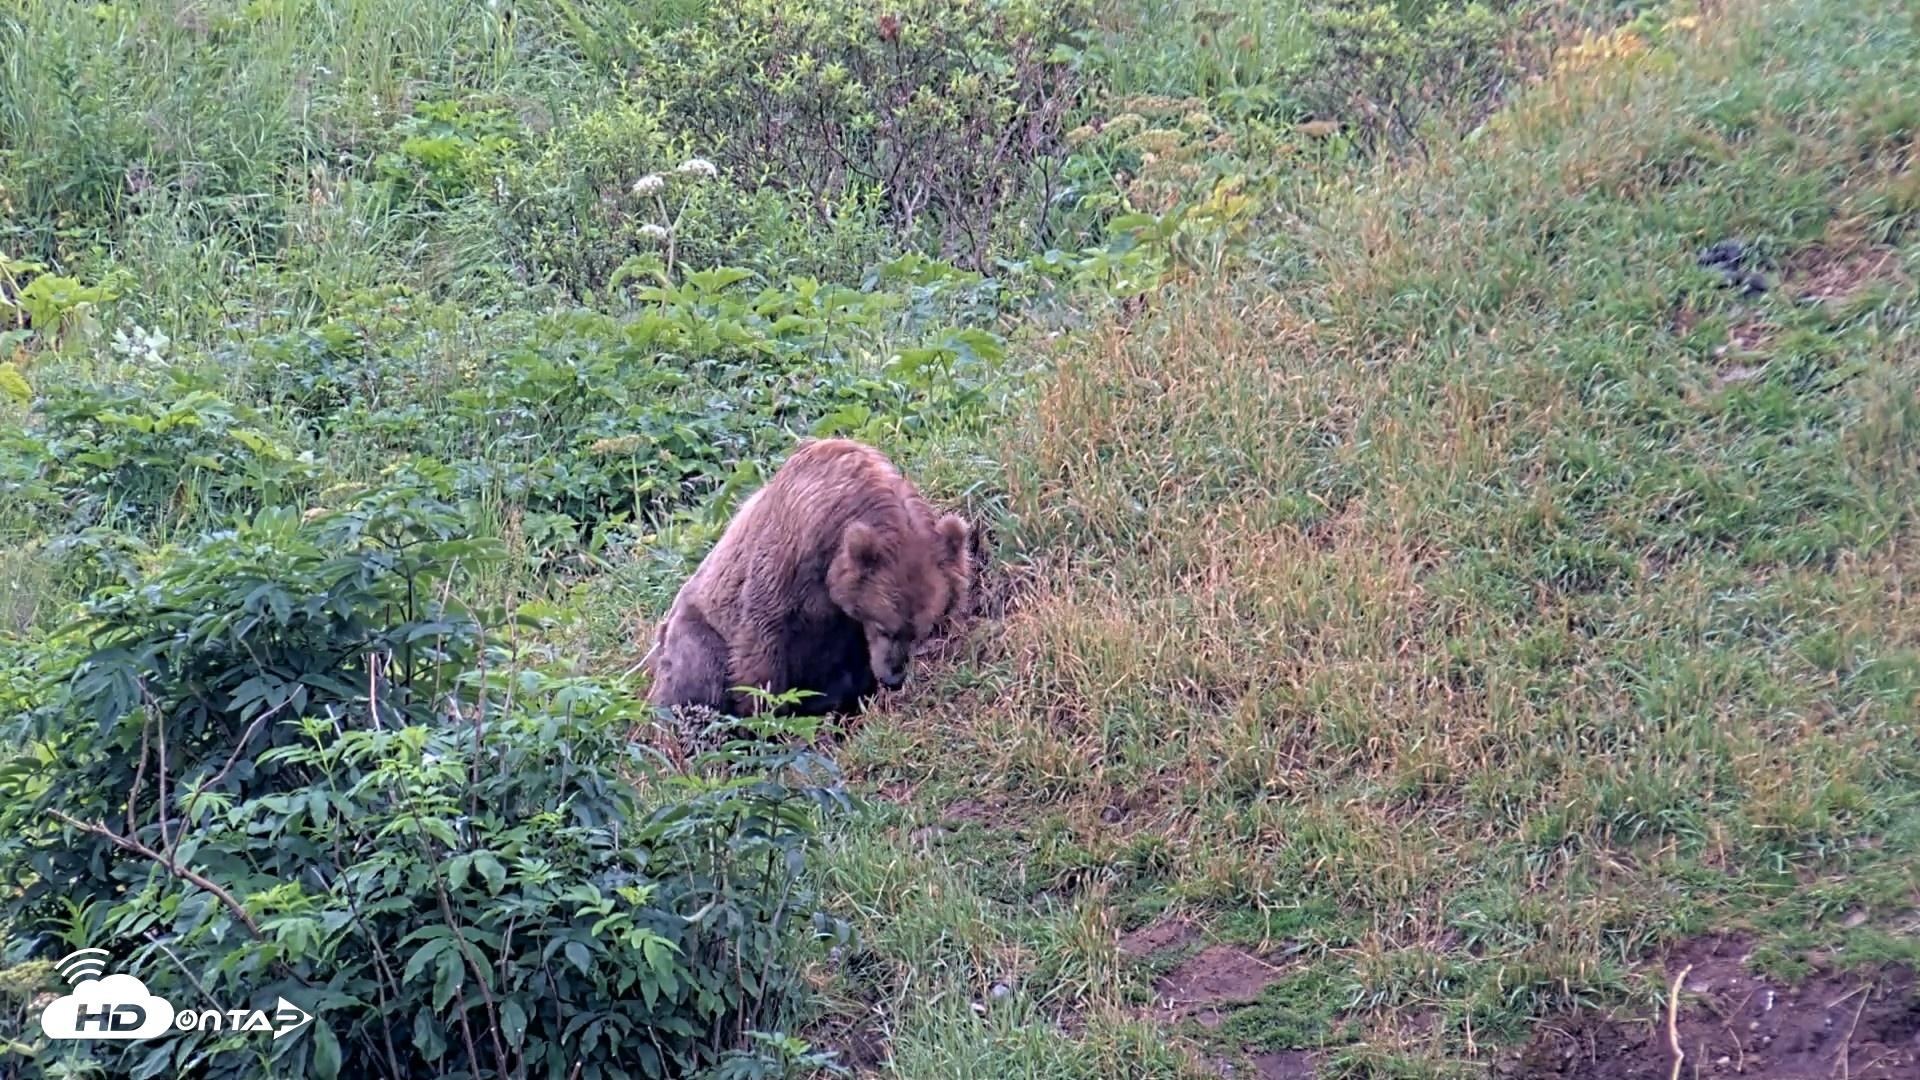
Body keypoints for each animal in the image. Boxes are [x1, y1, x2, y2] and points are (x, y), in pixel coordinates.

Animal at [644, 438, 972, 719]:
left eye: (920, 631)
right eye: (884, 626)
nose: (894, 678)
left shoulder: (846, 623)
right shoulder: (789, 561)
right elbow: (761, 645)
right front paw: (766, 716)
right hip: (695, 630)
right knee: (696, 674)